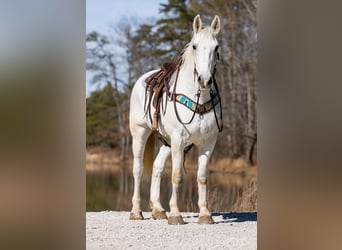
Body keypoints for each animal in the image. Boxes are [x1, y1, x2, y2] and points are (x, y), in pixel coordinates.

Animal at [128, 15, 222, 225]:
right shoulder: (179, 139)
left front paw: (205, 214)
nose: (205, 80)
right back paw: (136, 211)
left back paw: (158, 210)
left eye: (216, 47)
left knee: (157, 167)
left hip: (166, 142)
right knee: (138, 170)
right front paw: (176, 214)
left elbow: (202, 177)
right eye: (195, 46)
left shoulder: (208, 143)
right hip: (140, 133)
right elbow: (177, 175)